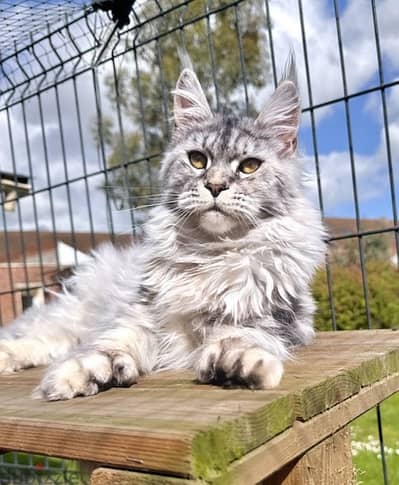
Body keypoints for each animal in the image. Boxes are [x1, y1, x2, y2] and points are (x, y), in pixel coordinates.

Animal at [0, 59, 326, 400]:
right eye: (197, 160)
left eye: (249, 166)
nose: (215, 186)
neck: (210, 253)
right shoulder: (141, 315)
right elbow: (108, 345)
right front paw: (79, 373)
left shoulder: (275, 317)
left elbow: (244, 337)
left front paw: (237, 364)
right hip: (74, 315)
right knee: (43, 337)